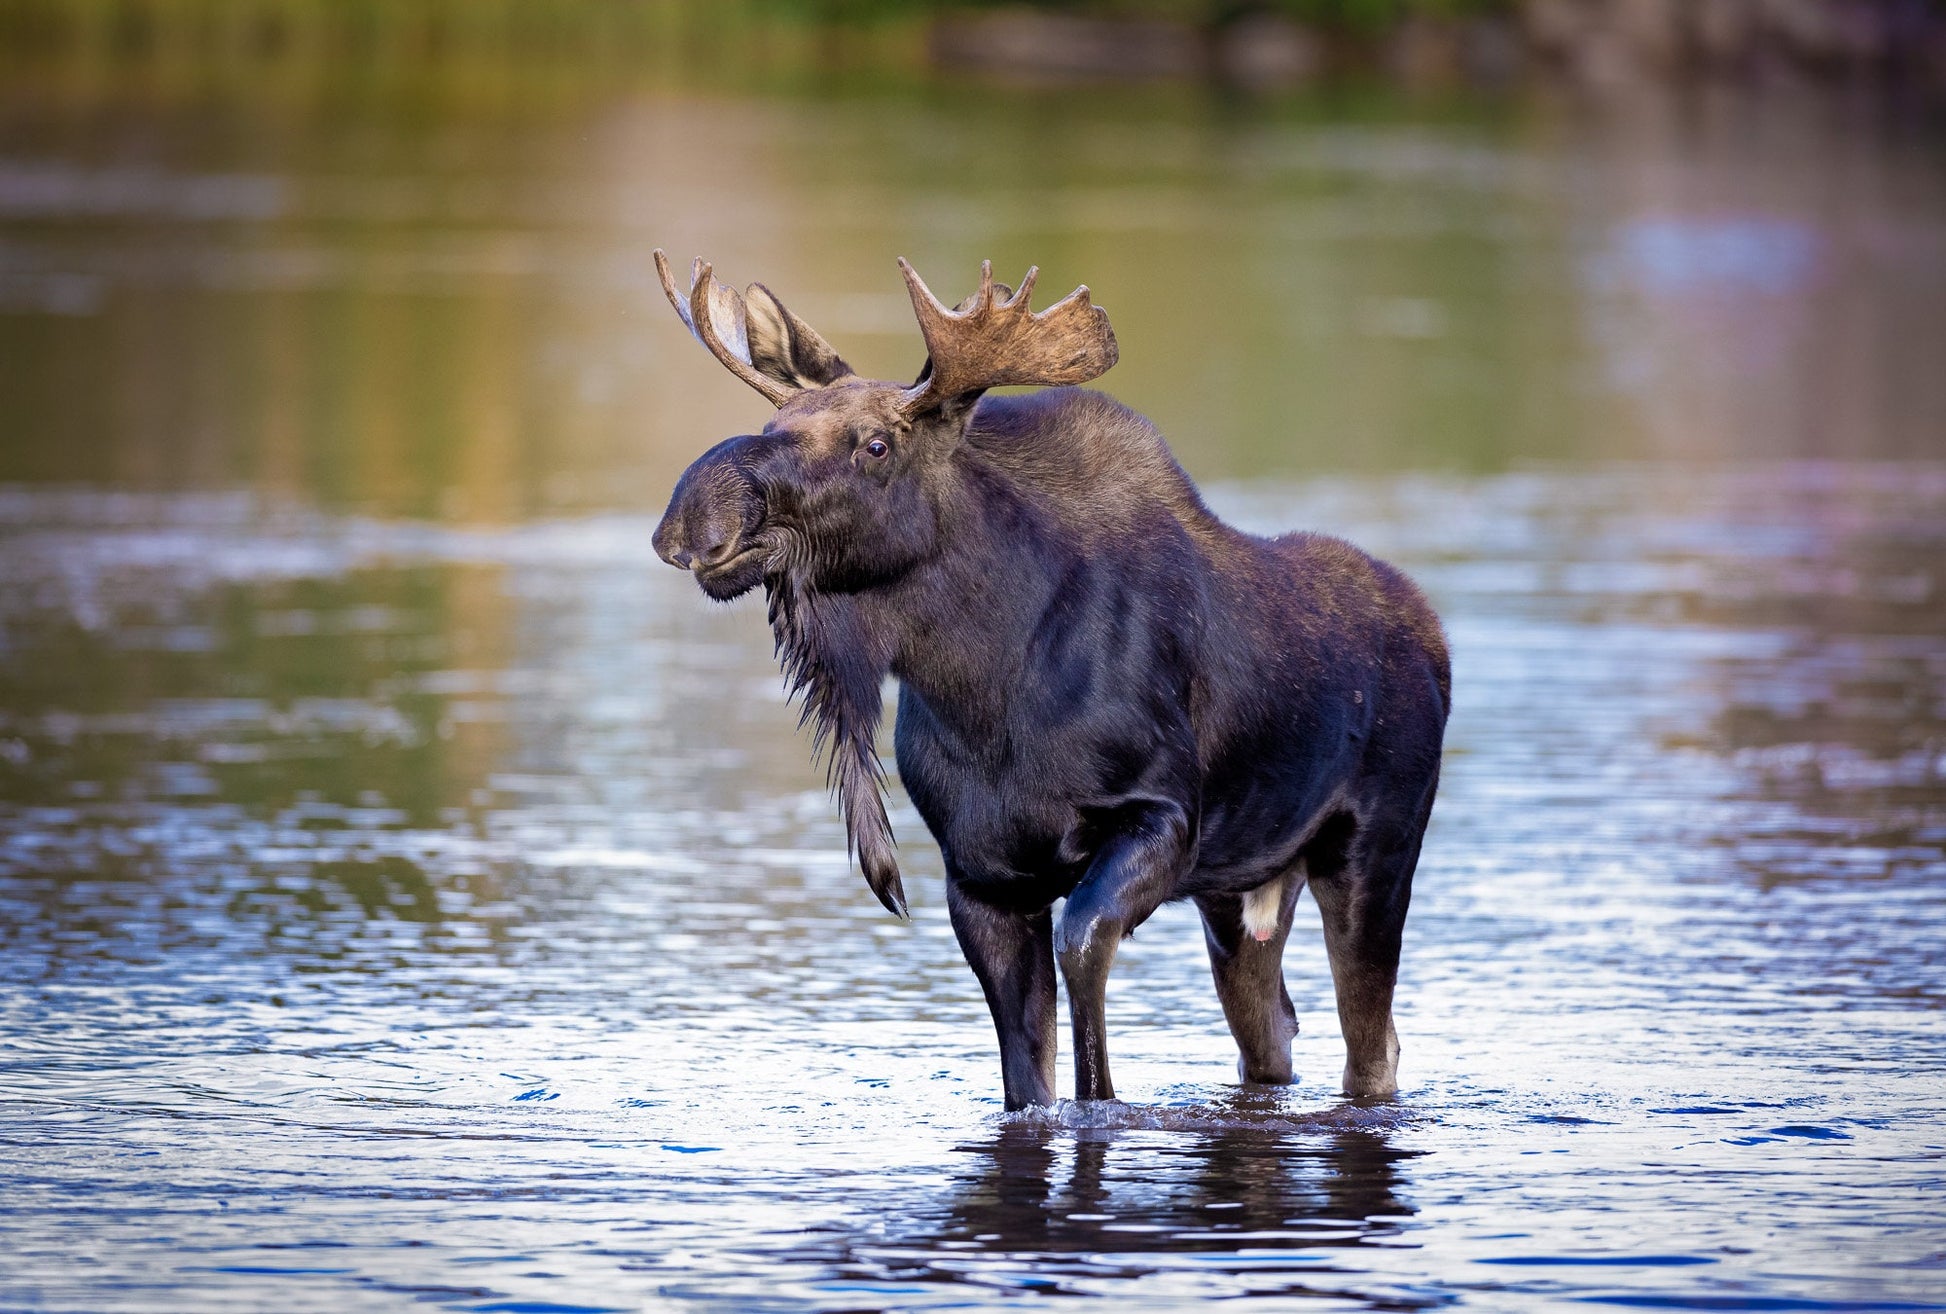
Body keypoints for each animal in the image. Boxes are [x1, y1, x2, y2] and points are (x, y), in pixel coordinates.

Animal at [649, 249, 1447, 1113]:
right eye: (773, 427)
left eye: (876, 445)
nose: (698, 522)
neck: (982, 688)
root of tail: (1434, 635)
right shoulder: (982, 877)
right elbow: (1027, 1072)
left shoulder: (1161, 817)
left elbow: (1083, 956)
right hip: (1241, 892)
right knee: (1274, 1038)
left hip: (1373, 853)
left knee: (1374, 1050)